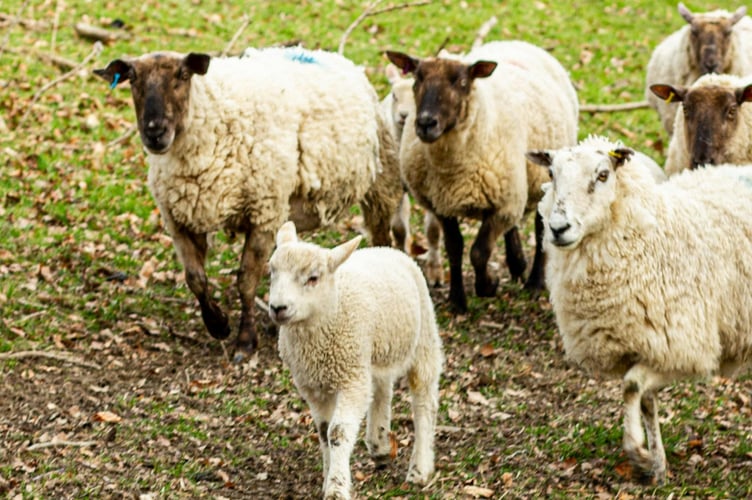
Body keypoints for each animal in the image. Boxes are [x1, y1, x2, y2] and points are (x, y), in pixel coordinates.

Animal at [94, 48, 402, 362]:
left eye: (183, 75)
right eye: (132, 79)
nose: (155, 132)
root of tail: (328, 55)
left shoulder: (264, 214)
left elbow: (245, 280)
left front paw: (245, 340)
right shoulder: (180, 219)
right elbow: (195, 278)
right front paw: (217, 324)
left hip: (381, 182)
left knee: (381, 236)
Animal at [268, 221, 443, 499]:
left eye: (313, 278)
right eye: (272, 272)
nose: (277, 308)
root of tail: (386, 249)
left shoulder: (350, 378)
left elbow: (337, 432)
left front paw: (336, 488)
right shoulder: (312, 387)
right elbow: (323, 431)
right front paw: (328, 476)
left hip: (423, 337)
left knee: (424, 401)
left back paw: (420, 468)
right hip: (374, 351)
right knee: (381, 390)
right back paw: (380, 445)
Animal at [386, 40, 578, 312]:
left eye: (461, 82)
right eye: (417, 78)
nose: (425, 123)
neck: (452, 170)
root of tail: (515, 42)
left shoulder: (503, 207)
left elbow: (479, 252)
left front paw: (488, 285)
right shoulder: (442, 204)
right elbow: (455, 248)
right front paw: (457, 300)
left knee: (541, 230)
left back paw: (534, 282)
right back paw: (517, 264)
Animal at [526, 135, 752, 484]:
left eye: (603, 175)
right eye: (551, 174)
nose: (558, 228)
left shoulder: (684, 347)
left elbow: (631, 386)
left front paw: (637, 451)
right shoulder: (646, 346)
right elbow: (646, 400)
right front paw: (656, 465)